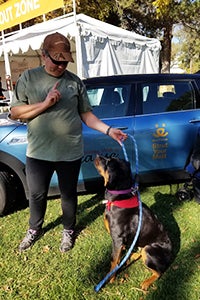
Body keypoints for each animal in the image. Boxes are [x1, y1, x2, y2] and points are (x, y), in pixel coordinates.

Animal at [94, 156, 173, 290]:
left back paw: (146, 283)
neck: (119, 198)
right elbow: (118, 258)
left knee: (159, 272)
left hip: (149, 248)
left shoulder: (118, 239)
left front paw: (110, 278)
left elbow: (113, 260)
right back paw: (133, 256)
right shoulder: (121, 241)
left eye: (108, 162)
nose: (97, 155)